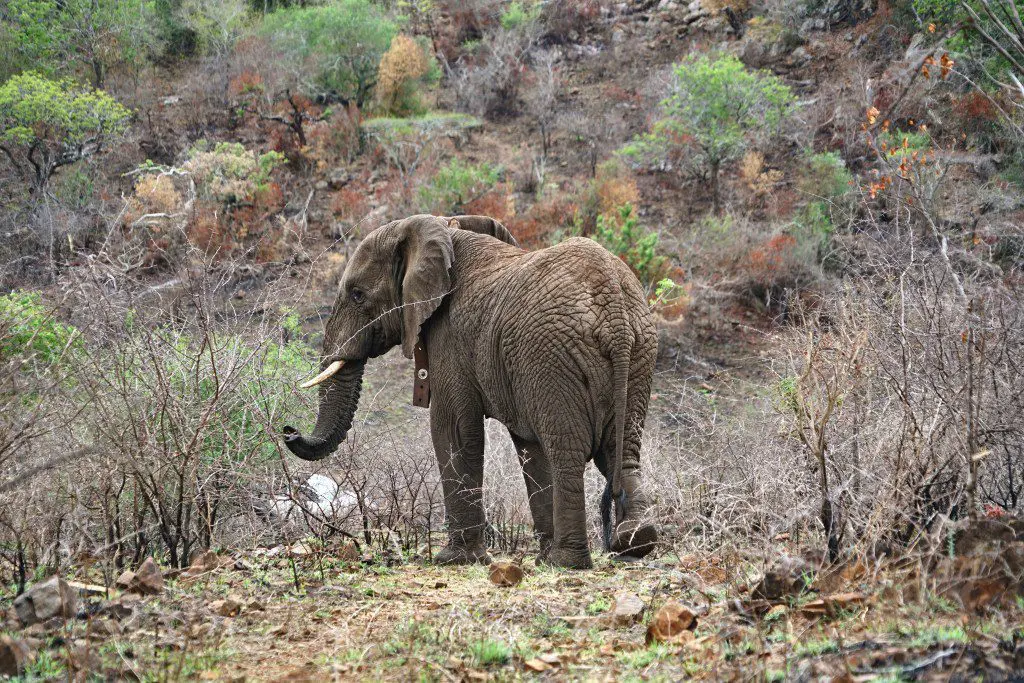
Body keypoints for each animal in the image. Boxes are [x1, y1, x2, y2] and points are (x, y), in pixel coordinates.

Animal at [283, 214, 658, 569]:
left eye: (358, 294)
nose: (288, 431)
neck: (442, 228)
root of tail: (614, 311)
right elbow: (529, 447)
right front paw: (534, 559)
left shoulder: (450, 335)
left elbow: (454, 429)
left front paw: (454, 560)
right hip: (636, 353)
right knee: (620, 449)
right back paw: (634, 544)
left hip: (553, 354)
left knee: (567, 451)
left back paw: (567, 563)